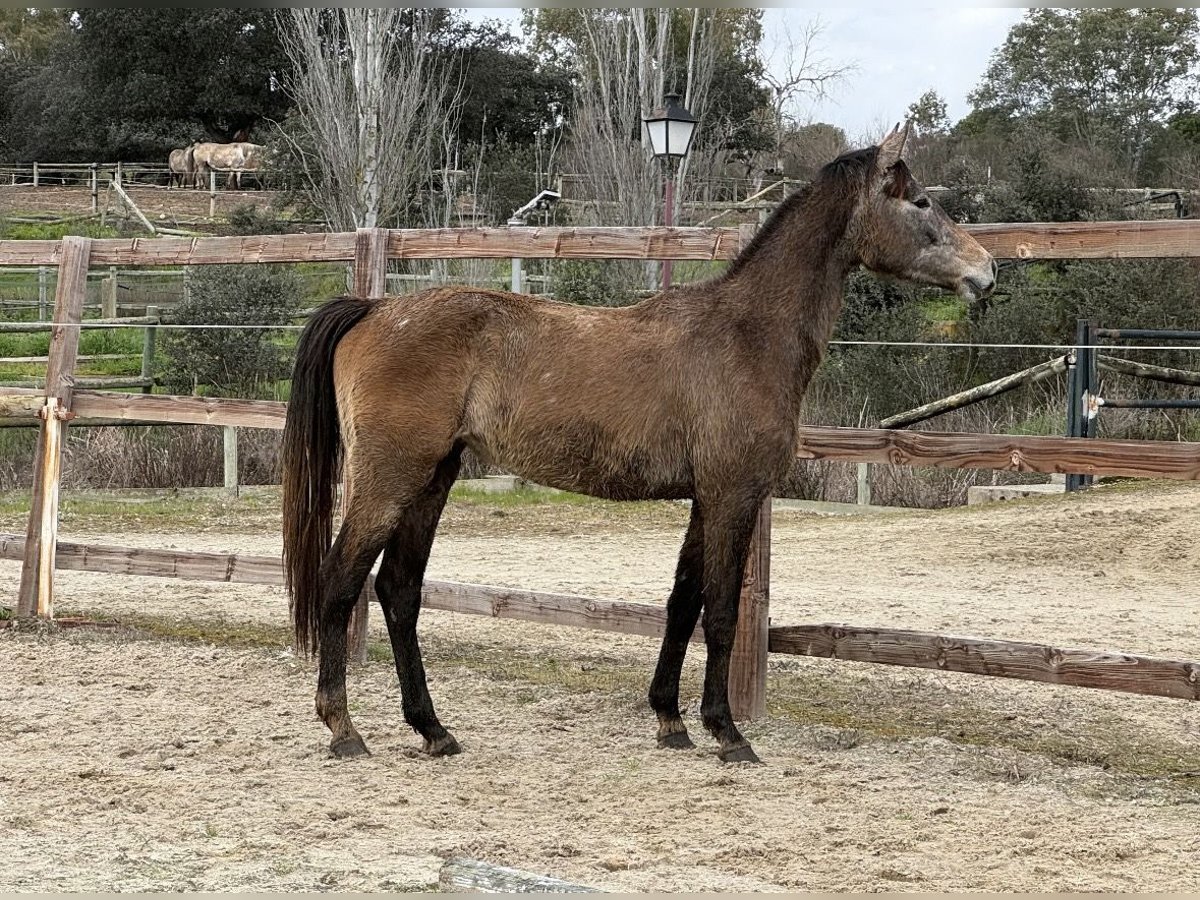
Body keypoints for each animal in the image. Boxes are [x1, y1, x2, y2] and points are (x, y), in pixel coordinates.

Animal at [278, 120, 993, 768]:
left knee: (399, 590)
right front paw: (727, 733)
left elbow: (682, 603)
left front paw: (670, 721)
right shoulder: (734, 494)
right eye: (919, 201)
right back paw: (344, 729)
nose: (986, 272)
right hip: (390, 480)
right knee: (341, 581)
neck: (746, 333)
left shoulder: (705, 499)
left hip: (433, 479)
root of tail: (375, 309)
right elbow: (722, 611)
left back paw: (433, 730)